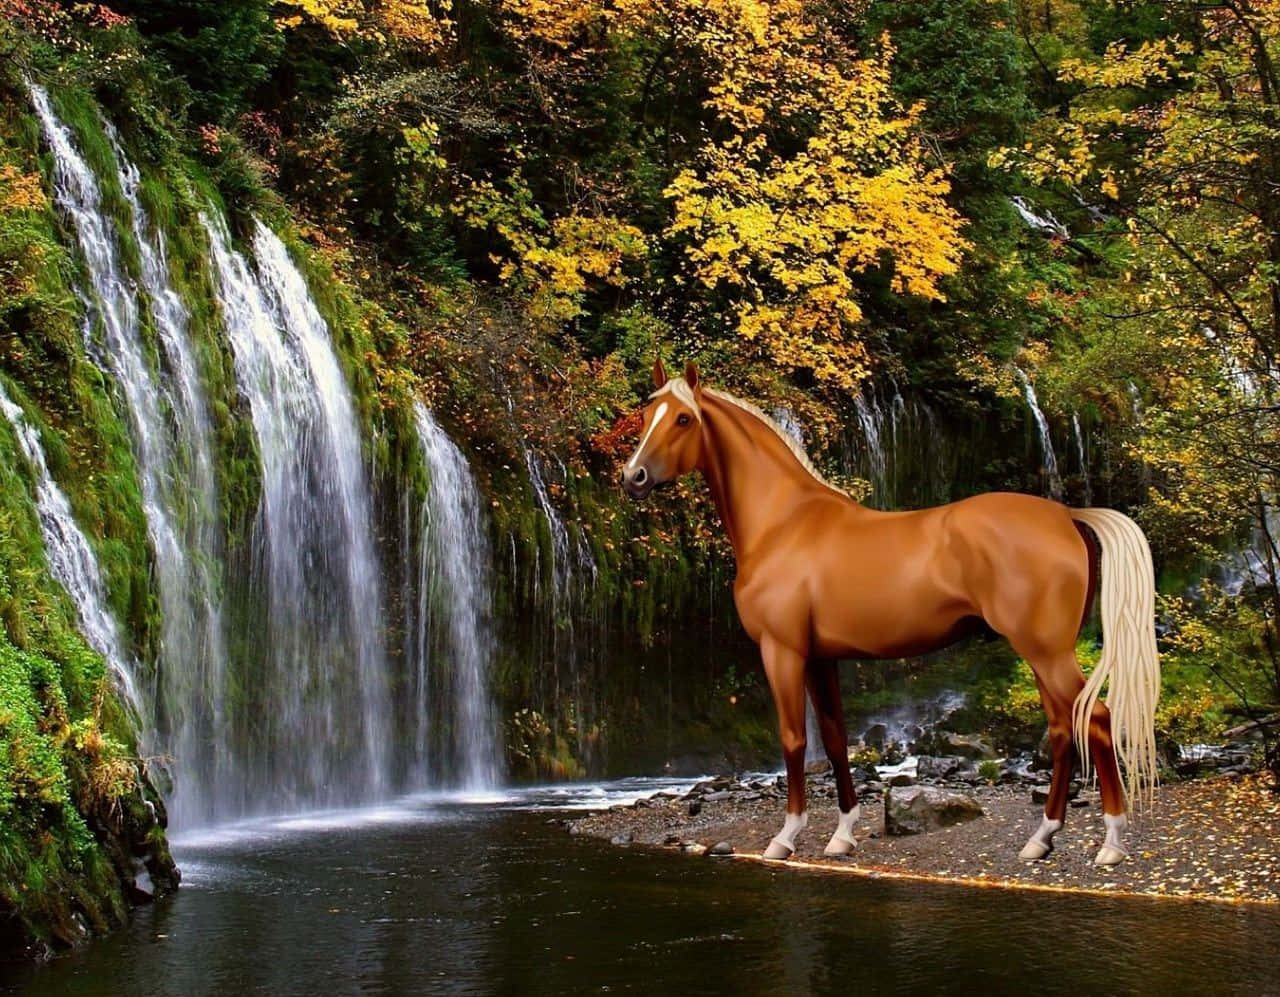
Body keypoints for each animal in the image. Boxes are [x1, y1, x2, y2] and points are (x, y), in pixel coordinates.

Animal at [621, 359, 1159, 867]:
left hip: (1045, 651)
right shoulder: (821, 658)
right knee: (1063, 728)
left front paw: (785, 838)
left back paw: (1111, 844)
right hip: (1044, 653)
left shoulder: (783, 651)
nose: (633, 478)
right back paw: (1041, 840)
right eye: (647, 415)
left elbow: (794, 739)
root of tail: (1066, 515)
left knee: (1097, 720)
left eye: (684, 419)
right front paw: (841, 836)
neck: (783, 523)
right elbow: (834, 741)